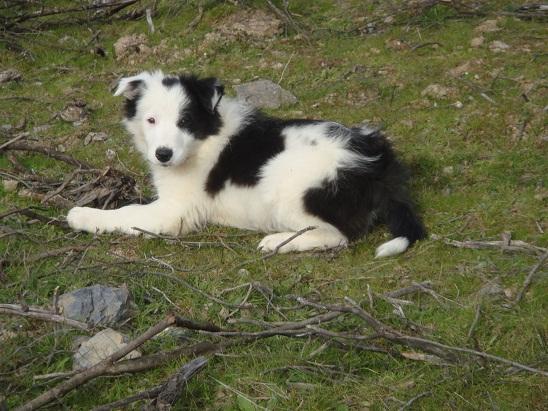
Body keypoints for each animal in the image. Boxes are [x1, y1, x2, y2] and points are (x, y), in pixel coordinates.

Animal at [68, 71, 426, 258]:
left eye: (185, 121)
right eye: (151, 120)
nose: (163, 155)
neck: (204, 139)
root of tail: (376, 158)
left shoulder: (175, 211)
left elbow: (127, 213)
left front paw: (83, 215)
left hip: (288, 187)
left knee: (336, 235)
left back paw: (278, 242)